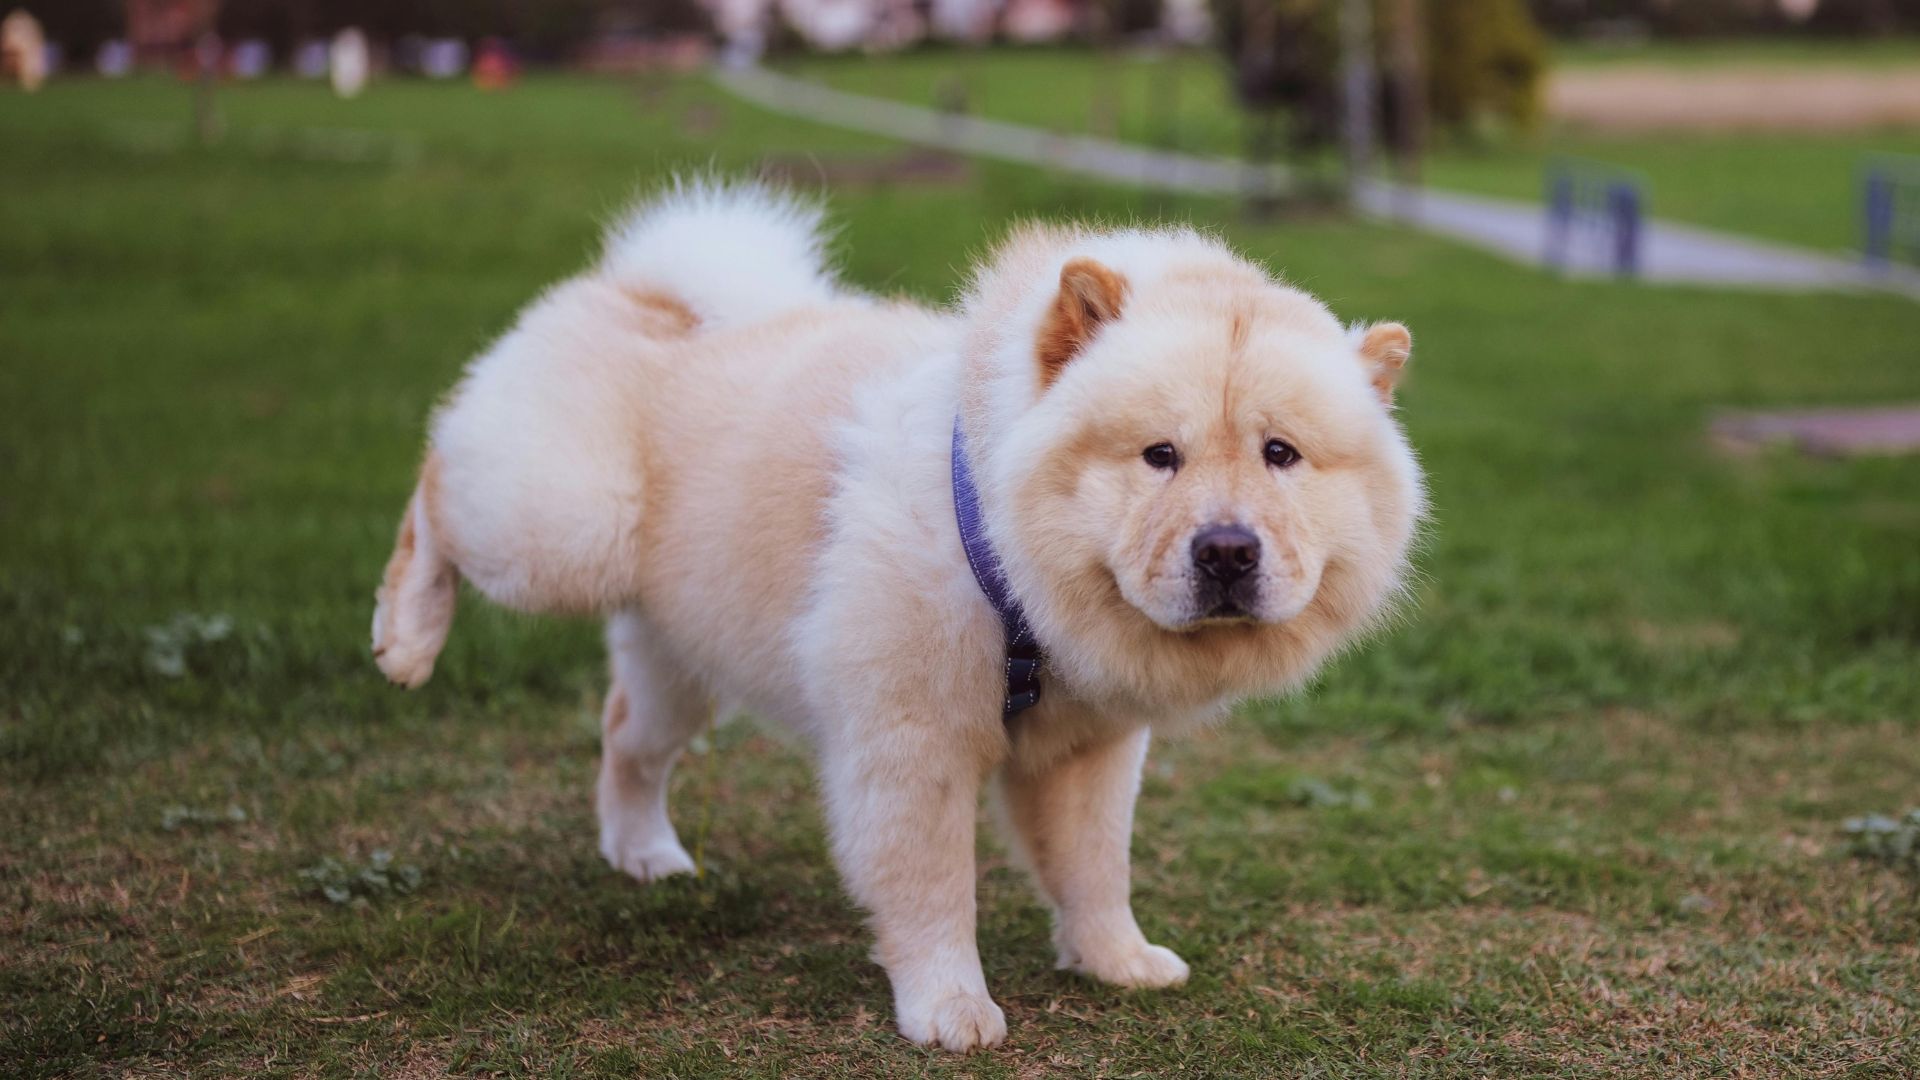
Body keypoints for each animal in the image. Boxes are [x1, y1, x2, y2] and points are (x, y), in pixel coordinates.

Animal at [374, 180, 1428, 1045]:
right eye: (1158, 455)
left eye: (1281, 455)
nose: (1227, 550)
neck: (1015, 575)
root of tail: (646, 293)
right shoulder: (912, 738)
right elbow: (932, 889)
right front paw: (951, 1010)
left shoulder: (1091, 750)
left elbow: (1096, 867)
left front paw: (1119, 963)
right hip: (561, 529)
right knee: (434, 484)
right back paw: (405, 636)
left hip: (683, 658)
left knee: (626, 736)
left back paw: (646, 856)